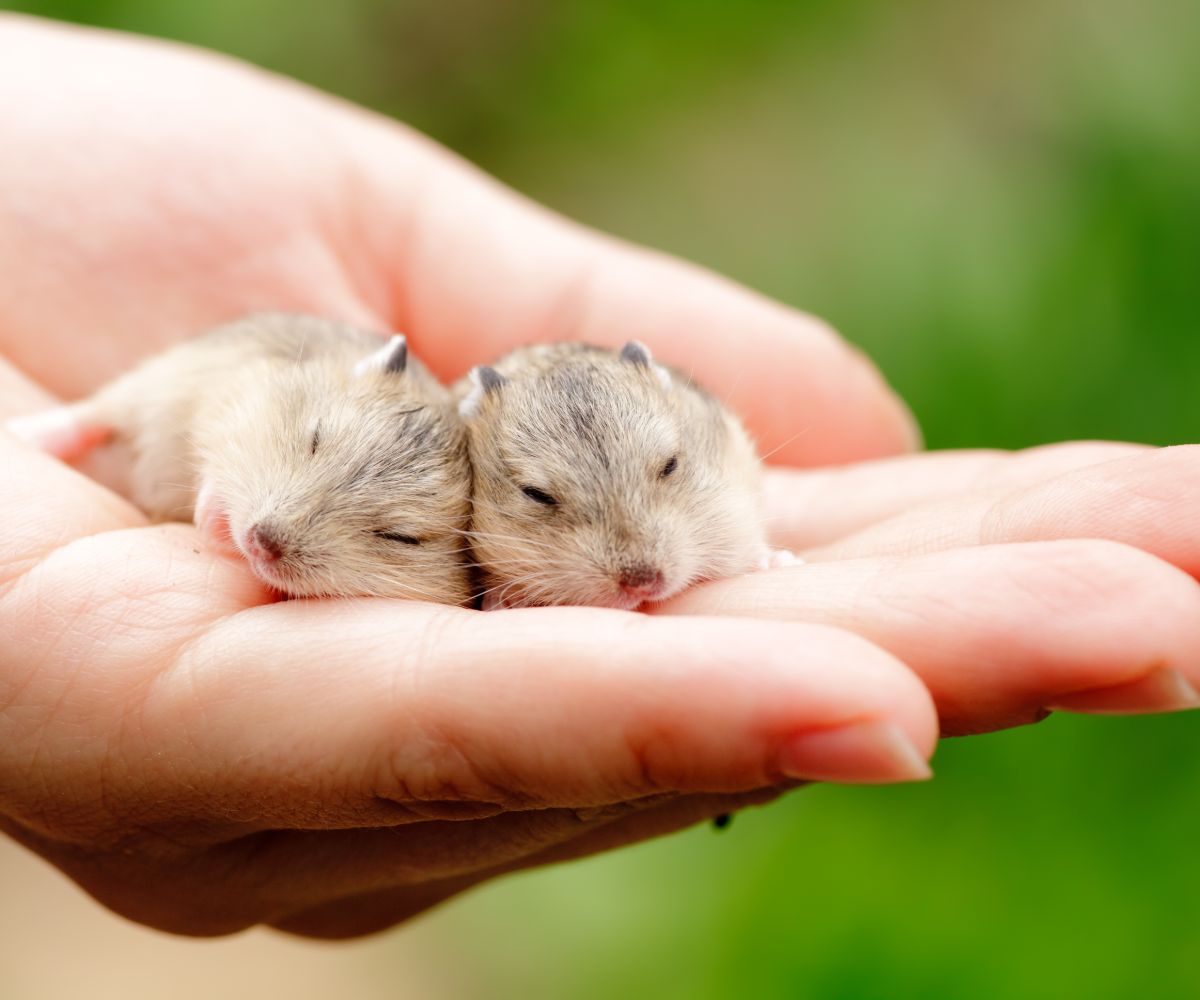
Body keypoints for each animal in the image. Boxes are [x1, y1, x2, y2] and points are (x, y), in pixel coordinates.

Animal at [7, 314, 472, 604]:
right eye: (315, 437)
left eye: (400, 537)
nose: (259, 542)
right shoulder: (234, 394)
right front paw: (213, 520)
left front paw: (213, 530)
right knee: (90, 415)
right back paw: (22, 435)